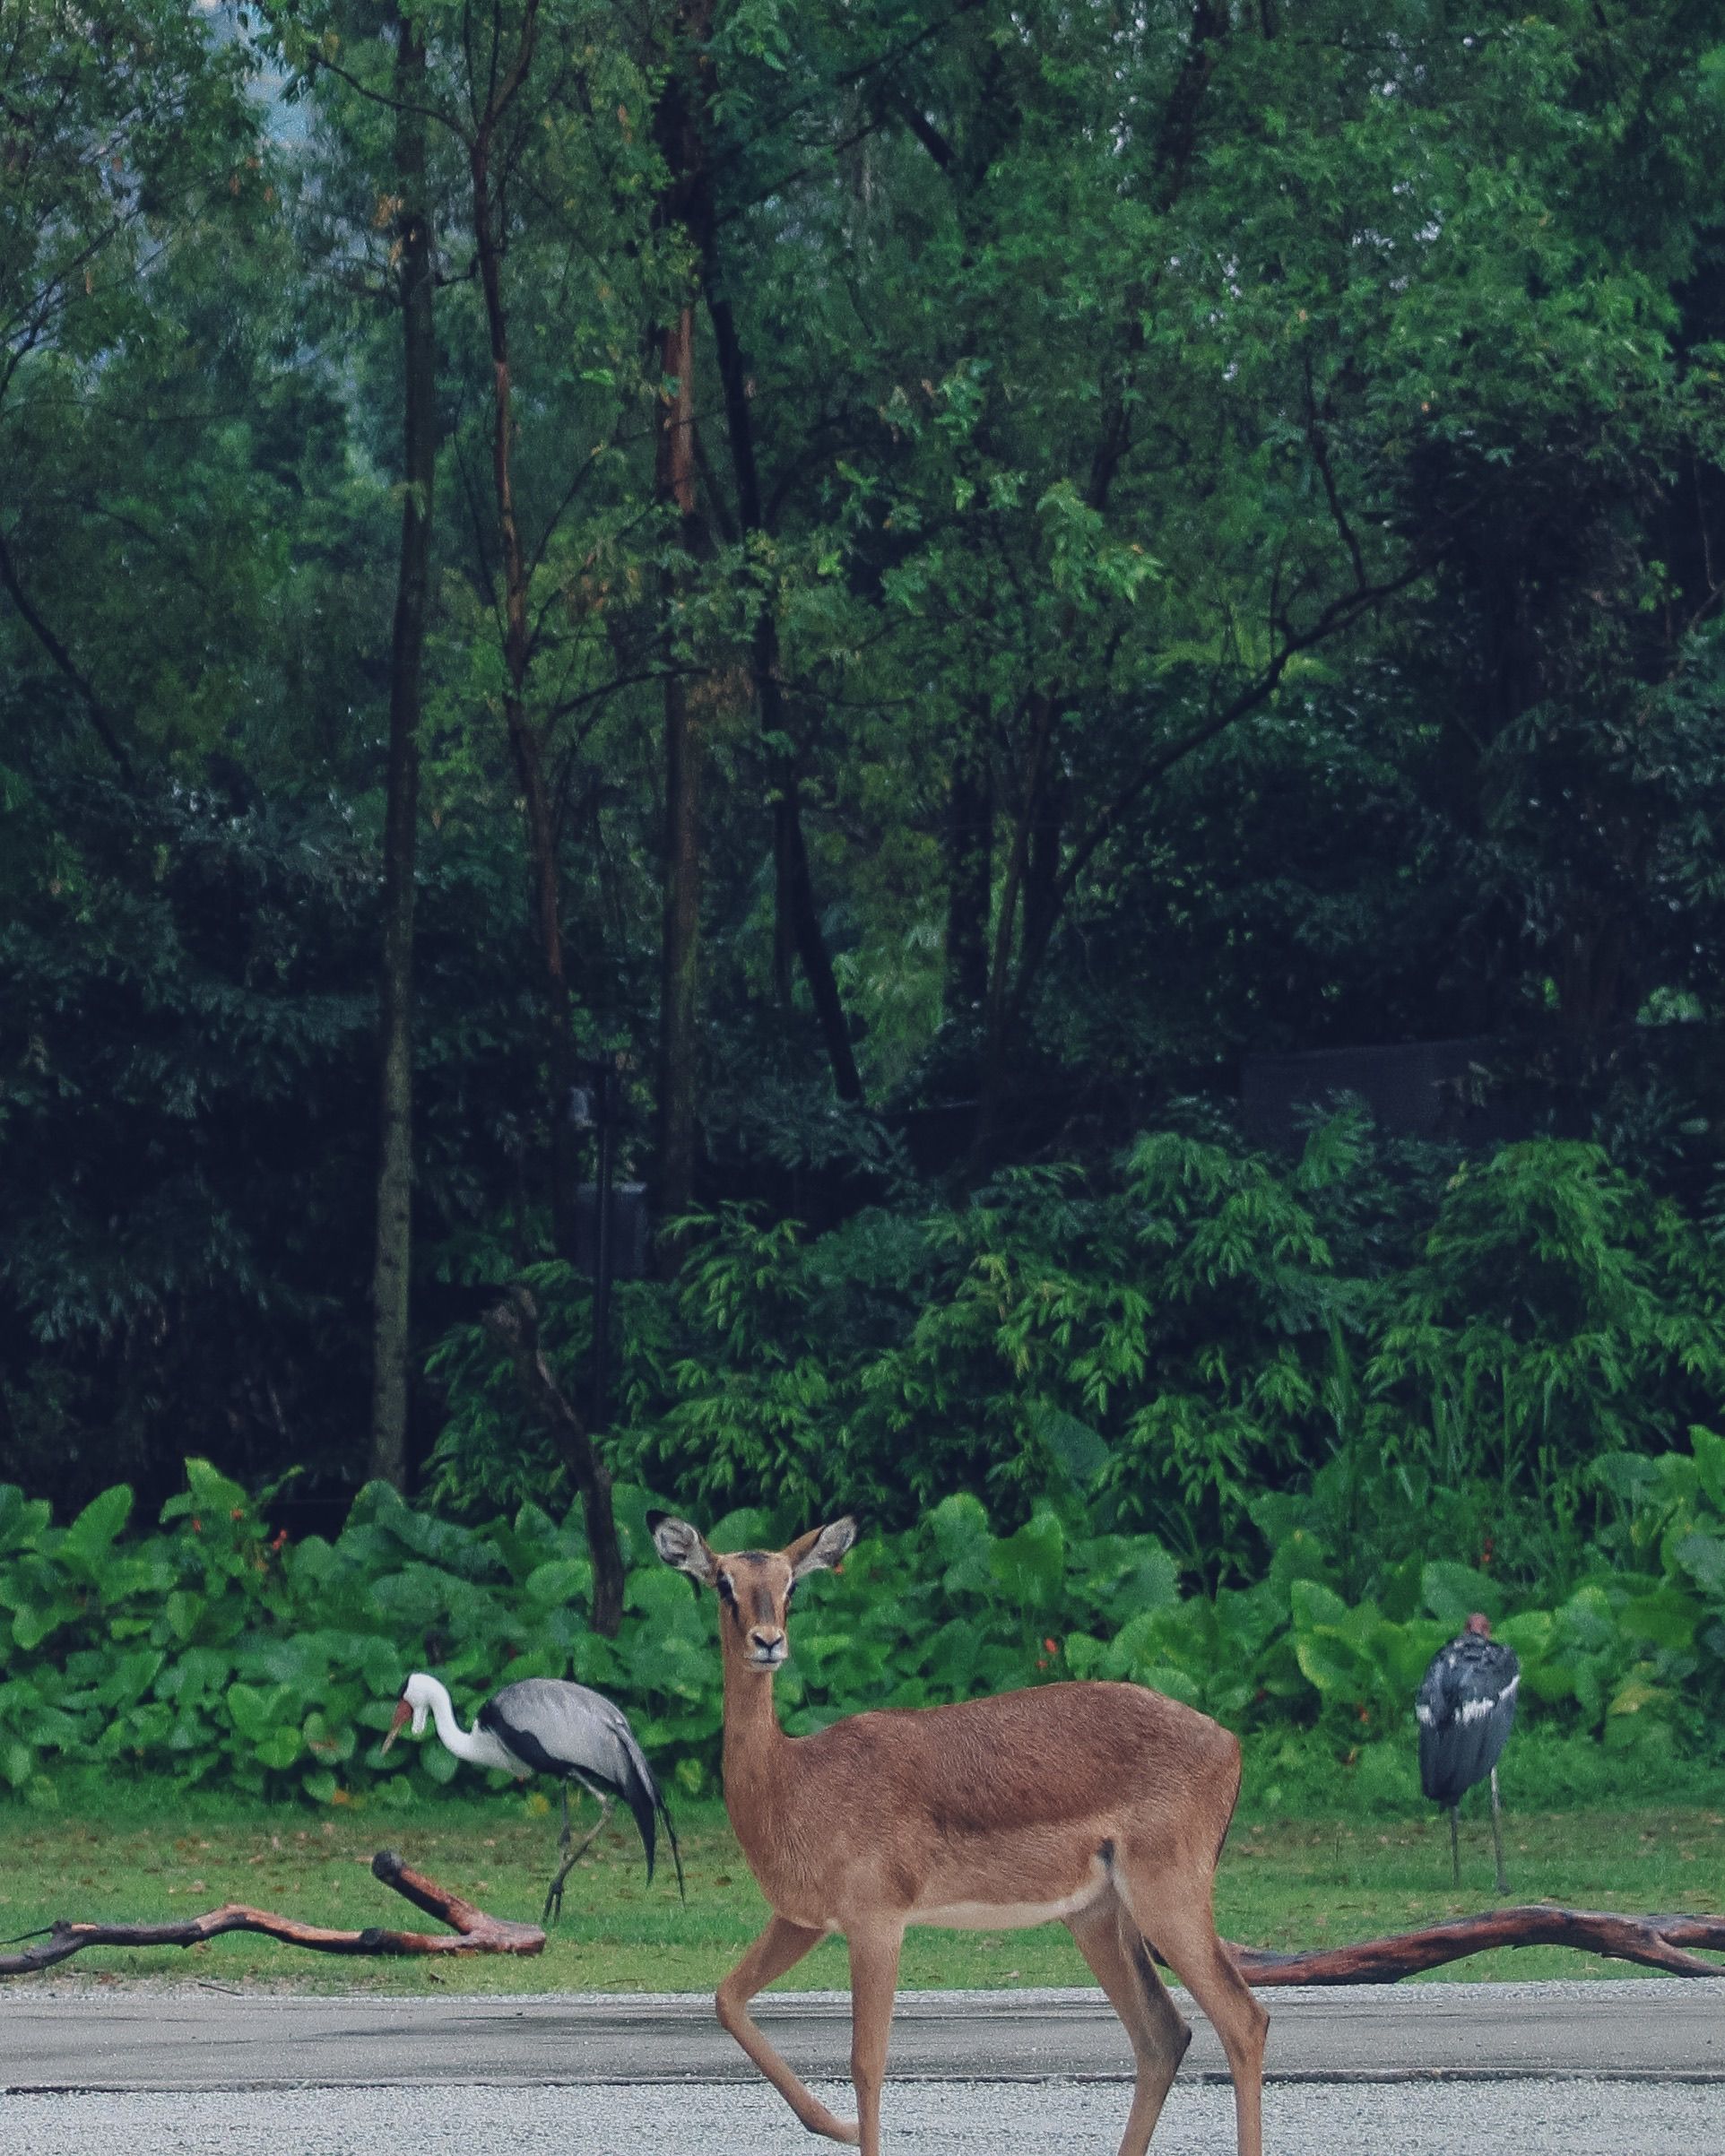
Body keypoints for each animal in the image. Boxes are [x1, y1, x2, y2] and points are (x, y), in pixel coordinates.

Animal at [648, 1511, 1267, 2156]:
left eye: (791, 1584)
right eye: (723, 1582)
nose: (768, 1641)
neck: (792, 1779)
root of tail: (1228, 1742)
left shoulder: (876, 1923)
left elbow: (867, 2061)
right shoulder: (802, 1920)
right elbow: (726, 1998)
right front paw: (838, 2126)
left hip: (1167, 1897)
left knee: (1242, 2019)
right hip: (1098, 1916)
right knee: (1163, 2034)